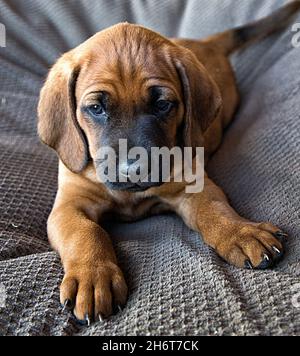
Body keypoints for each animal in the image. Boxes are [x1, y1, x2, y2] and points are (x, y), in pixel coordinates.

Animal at [37, 1, 300, 324]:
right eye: (96, 108)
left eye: (163, 105)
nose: (133, 170)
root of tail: (204, 43)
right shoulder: (68, 206)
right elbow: (84, 232)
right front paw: (92, 275)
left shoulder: (192, 187)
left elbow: (215, 210)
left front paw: (240, 231)